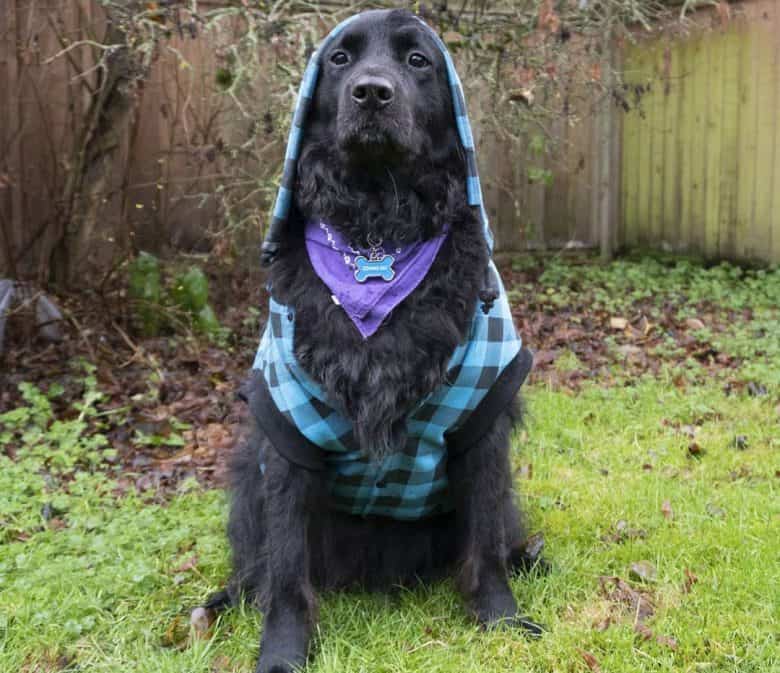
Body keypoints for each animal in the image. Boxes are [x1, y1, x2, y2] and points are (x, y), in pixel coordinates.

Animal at [210, 10, 544, 672]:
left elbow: (487, 540)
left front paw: (501, 618)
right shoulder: (286, 431)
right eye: (340, 59)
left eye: (418, 60)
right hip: (247, 478)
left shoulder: (483, 424)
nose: (371, 92)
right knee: (258, 560)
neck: (378, 232)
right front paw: (282, 650)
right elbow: (286, 568)